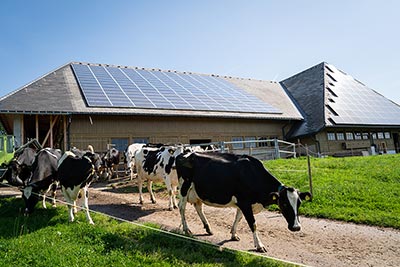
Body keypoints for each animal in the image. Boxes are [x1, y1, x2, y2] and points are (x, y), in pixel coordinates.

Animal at [176, 153, 312, 253]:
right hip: (184, 187)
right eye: (284, 204)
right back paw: (187, 229)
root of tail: (185, 153)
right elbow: (253, 224)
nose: (296, 227)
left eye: (299, 204)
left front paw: (233, 235)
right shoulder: (245, 202)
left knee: (198, 207)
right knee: (181, 207)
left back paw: (208, 228)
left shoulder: (243, 203)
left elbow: (238, 218)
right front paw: (259, 246)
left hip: (197, 191)